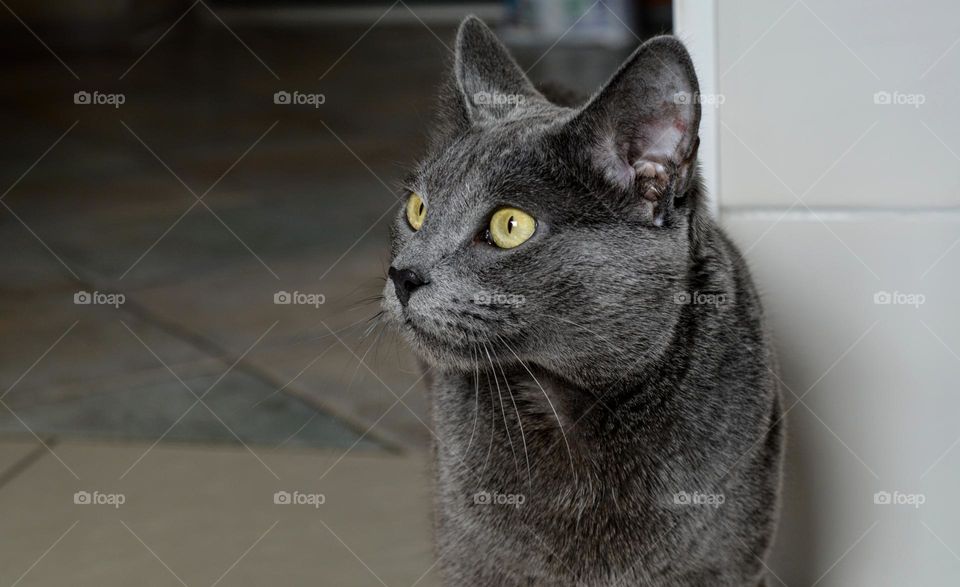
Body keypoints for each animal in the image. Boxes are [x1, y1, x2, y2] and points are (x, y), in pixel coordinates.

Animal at [378, 16, 784, 584]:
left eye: (510, 225)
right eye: (416, 209)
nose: (403, 275)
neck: (568, 401)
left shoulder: (729, 561)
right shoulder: (472, 556)